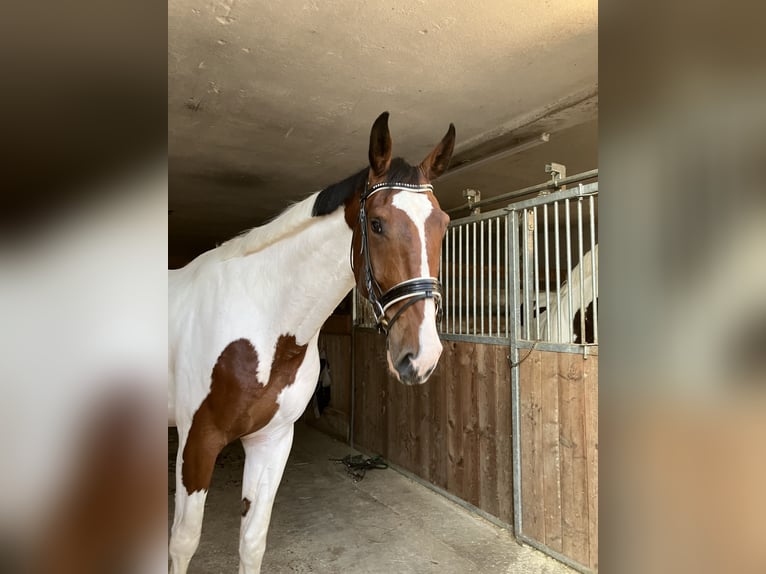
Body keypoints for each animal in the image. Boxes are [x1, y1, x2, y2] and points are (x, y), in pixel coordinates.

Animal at [168, 113, 456, 574]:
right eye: (376, 224)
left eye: (443, 224)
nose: (422, 356)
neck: (263, 324)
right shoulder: (197, 441)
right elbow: (183, 542)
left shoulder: (272, 441)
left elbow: (252, 541)